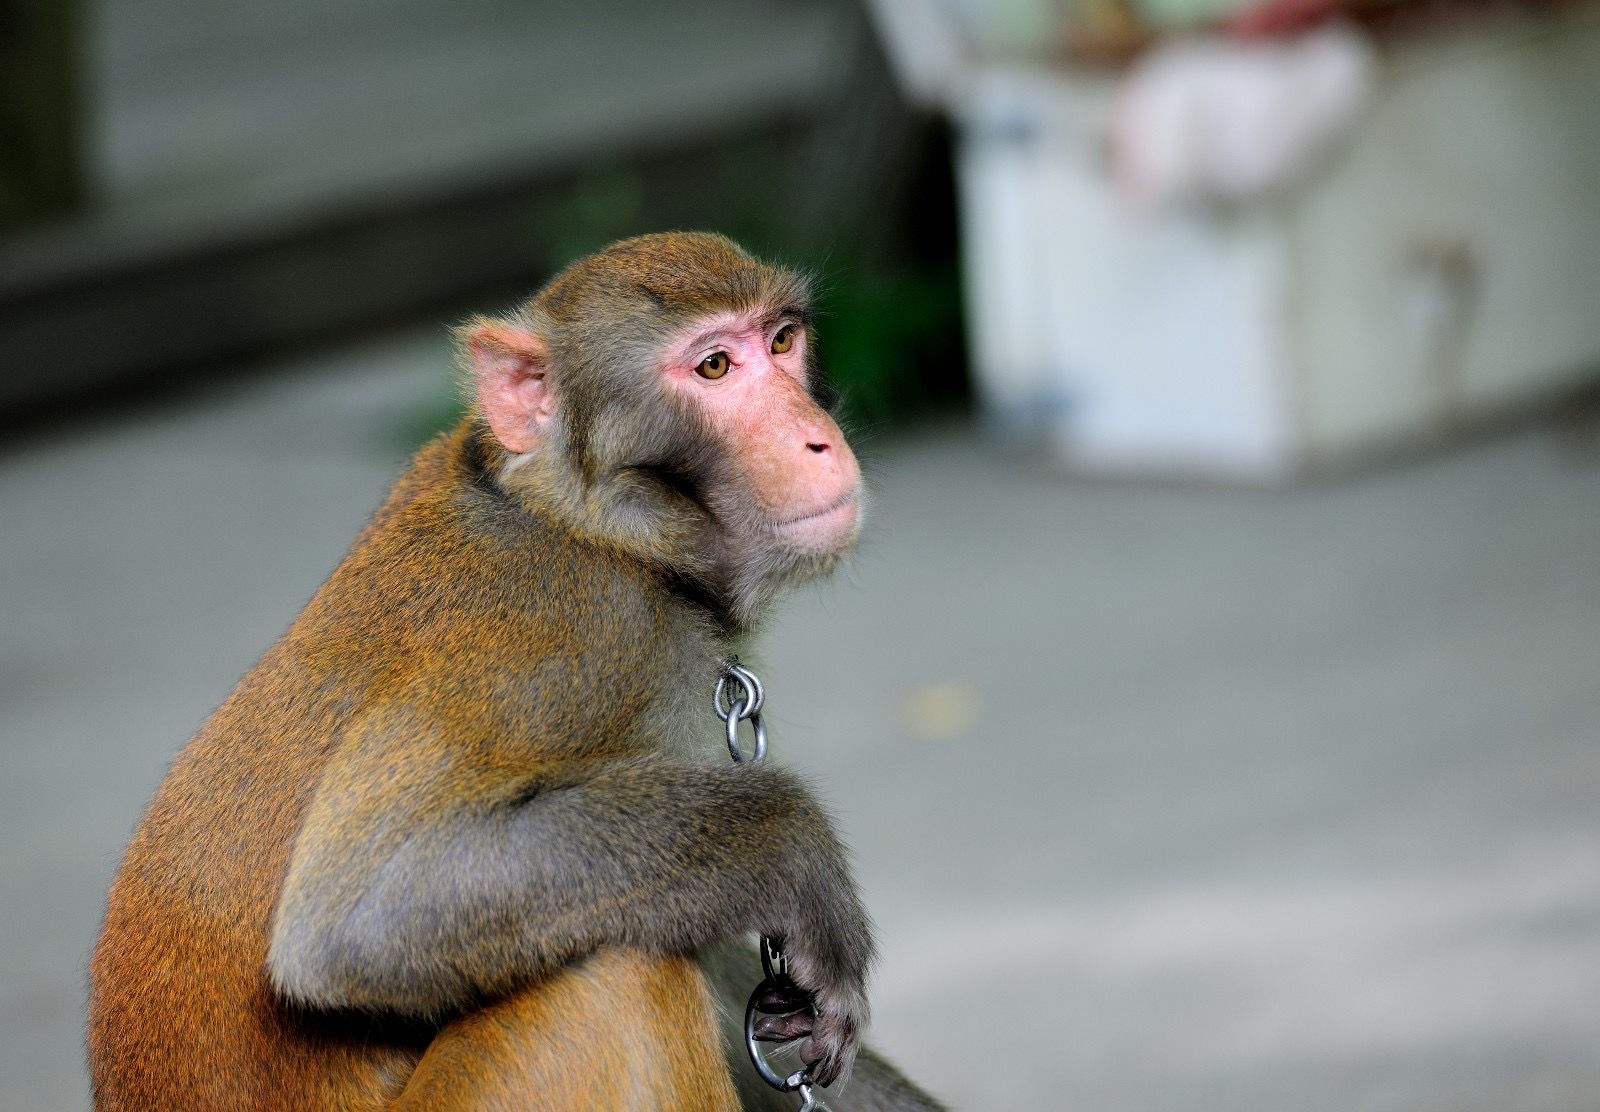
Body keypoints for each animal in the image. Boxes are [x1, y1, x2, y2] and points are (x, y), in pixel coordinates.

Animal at [87, 230, 947, 1107]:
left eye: (781, 342)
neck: (595, 528)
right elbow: (355, 920)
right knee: (614, 975)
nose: (820, 438)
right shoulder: (573, 632)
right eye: (714, 367)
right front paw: (795, 852)